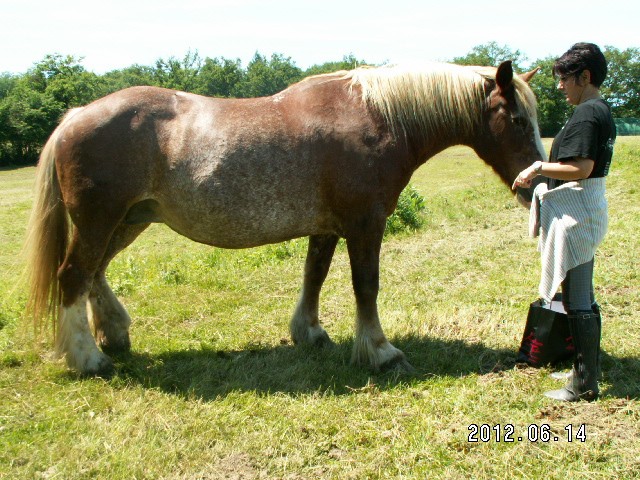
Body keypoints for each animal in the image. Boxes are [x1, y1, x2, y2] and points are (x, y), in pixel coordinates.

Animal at [26, 61, 544, 376]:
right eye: (518, 120)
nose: (534, 186)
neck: (376, 117)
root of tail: (74, 116)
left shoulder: (327, 227)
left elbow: (314, 275)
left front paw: (309, 332)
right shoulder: (363, 224)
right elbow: (366, 286)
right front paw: (379, 351)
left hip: (127, 221)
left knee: (94, 273)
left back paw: (113, 333)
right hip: (101, 221)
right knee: (73, 275)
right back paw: (88, 358)